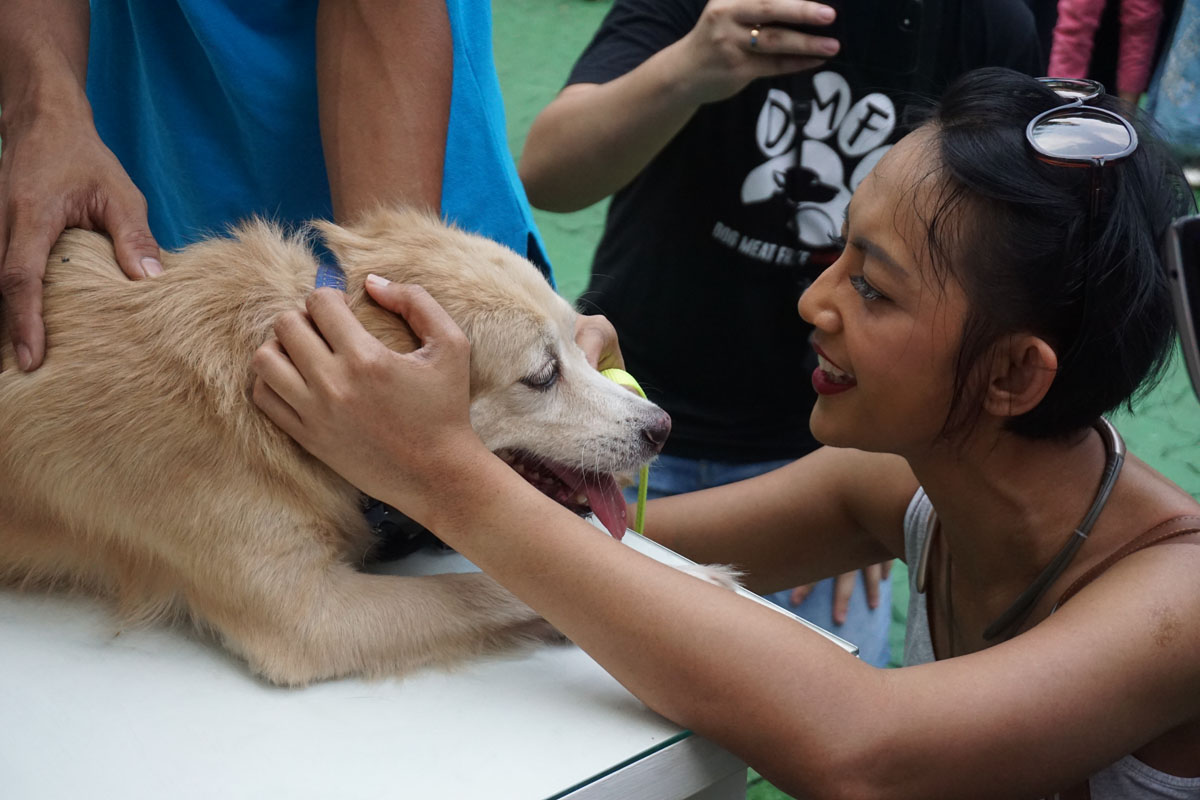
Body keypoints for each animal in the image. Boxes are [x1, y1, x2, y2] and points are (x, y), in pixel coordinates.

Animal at [0, 209, 700, 686]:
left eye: (578, 345)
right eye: (542, 375)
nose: (662, 427)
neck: (261, 388)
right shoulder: (309, 617)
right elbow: (488, 588)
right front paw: (682, 589)